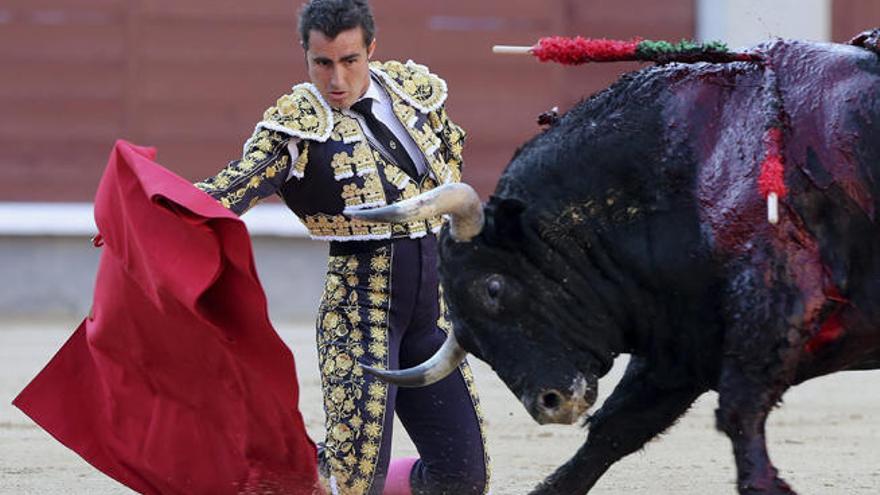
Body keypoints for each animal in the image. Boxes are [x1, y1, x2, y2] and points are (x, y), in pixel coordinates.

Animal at [348, 33, 876, 494]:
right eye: (470, 340)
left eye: (493, 288)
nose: (550, 404)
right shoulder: (681, 348)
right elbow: (610, 435)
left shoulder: (777, 302)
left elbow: (738, 412)